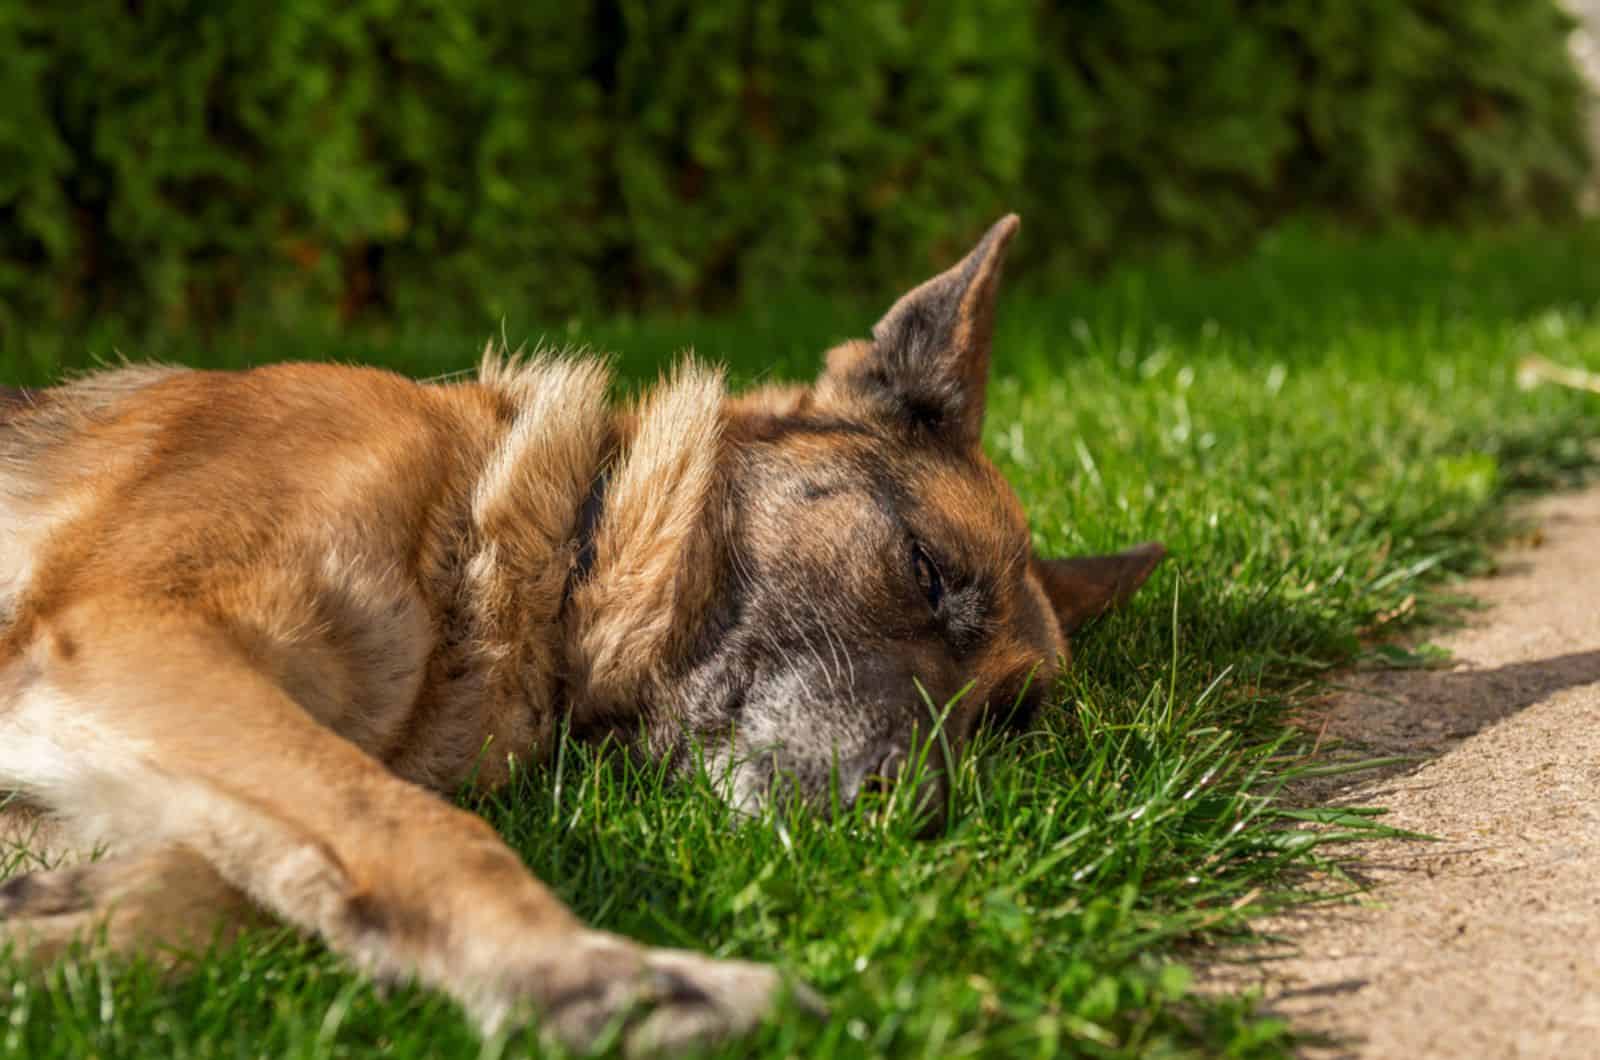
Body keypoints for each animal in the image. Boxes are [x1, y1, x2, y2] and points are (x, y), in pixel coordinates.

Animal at [0, 216, 1158, 1056]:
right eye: (923, 571)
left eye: (1003, 723)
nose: (915, 817)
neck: (543, 544)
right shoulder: (128, 630)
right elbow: (420, 829)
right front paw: (609, 981)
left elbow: (259, 862)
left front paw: (66, 920)